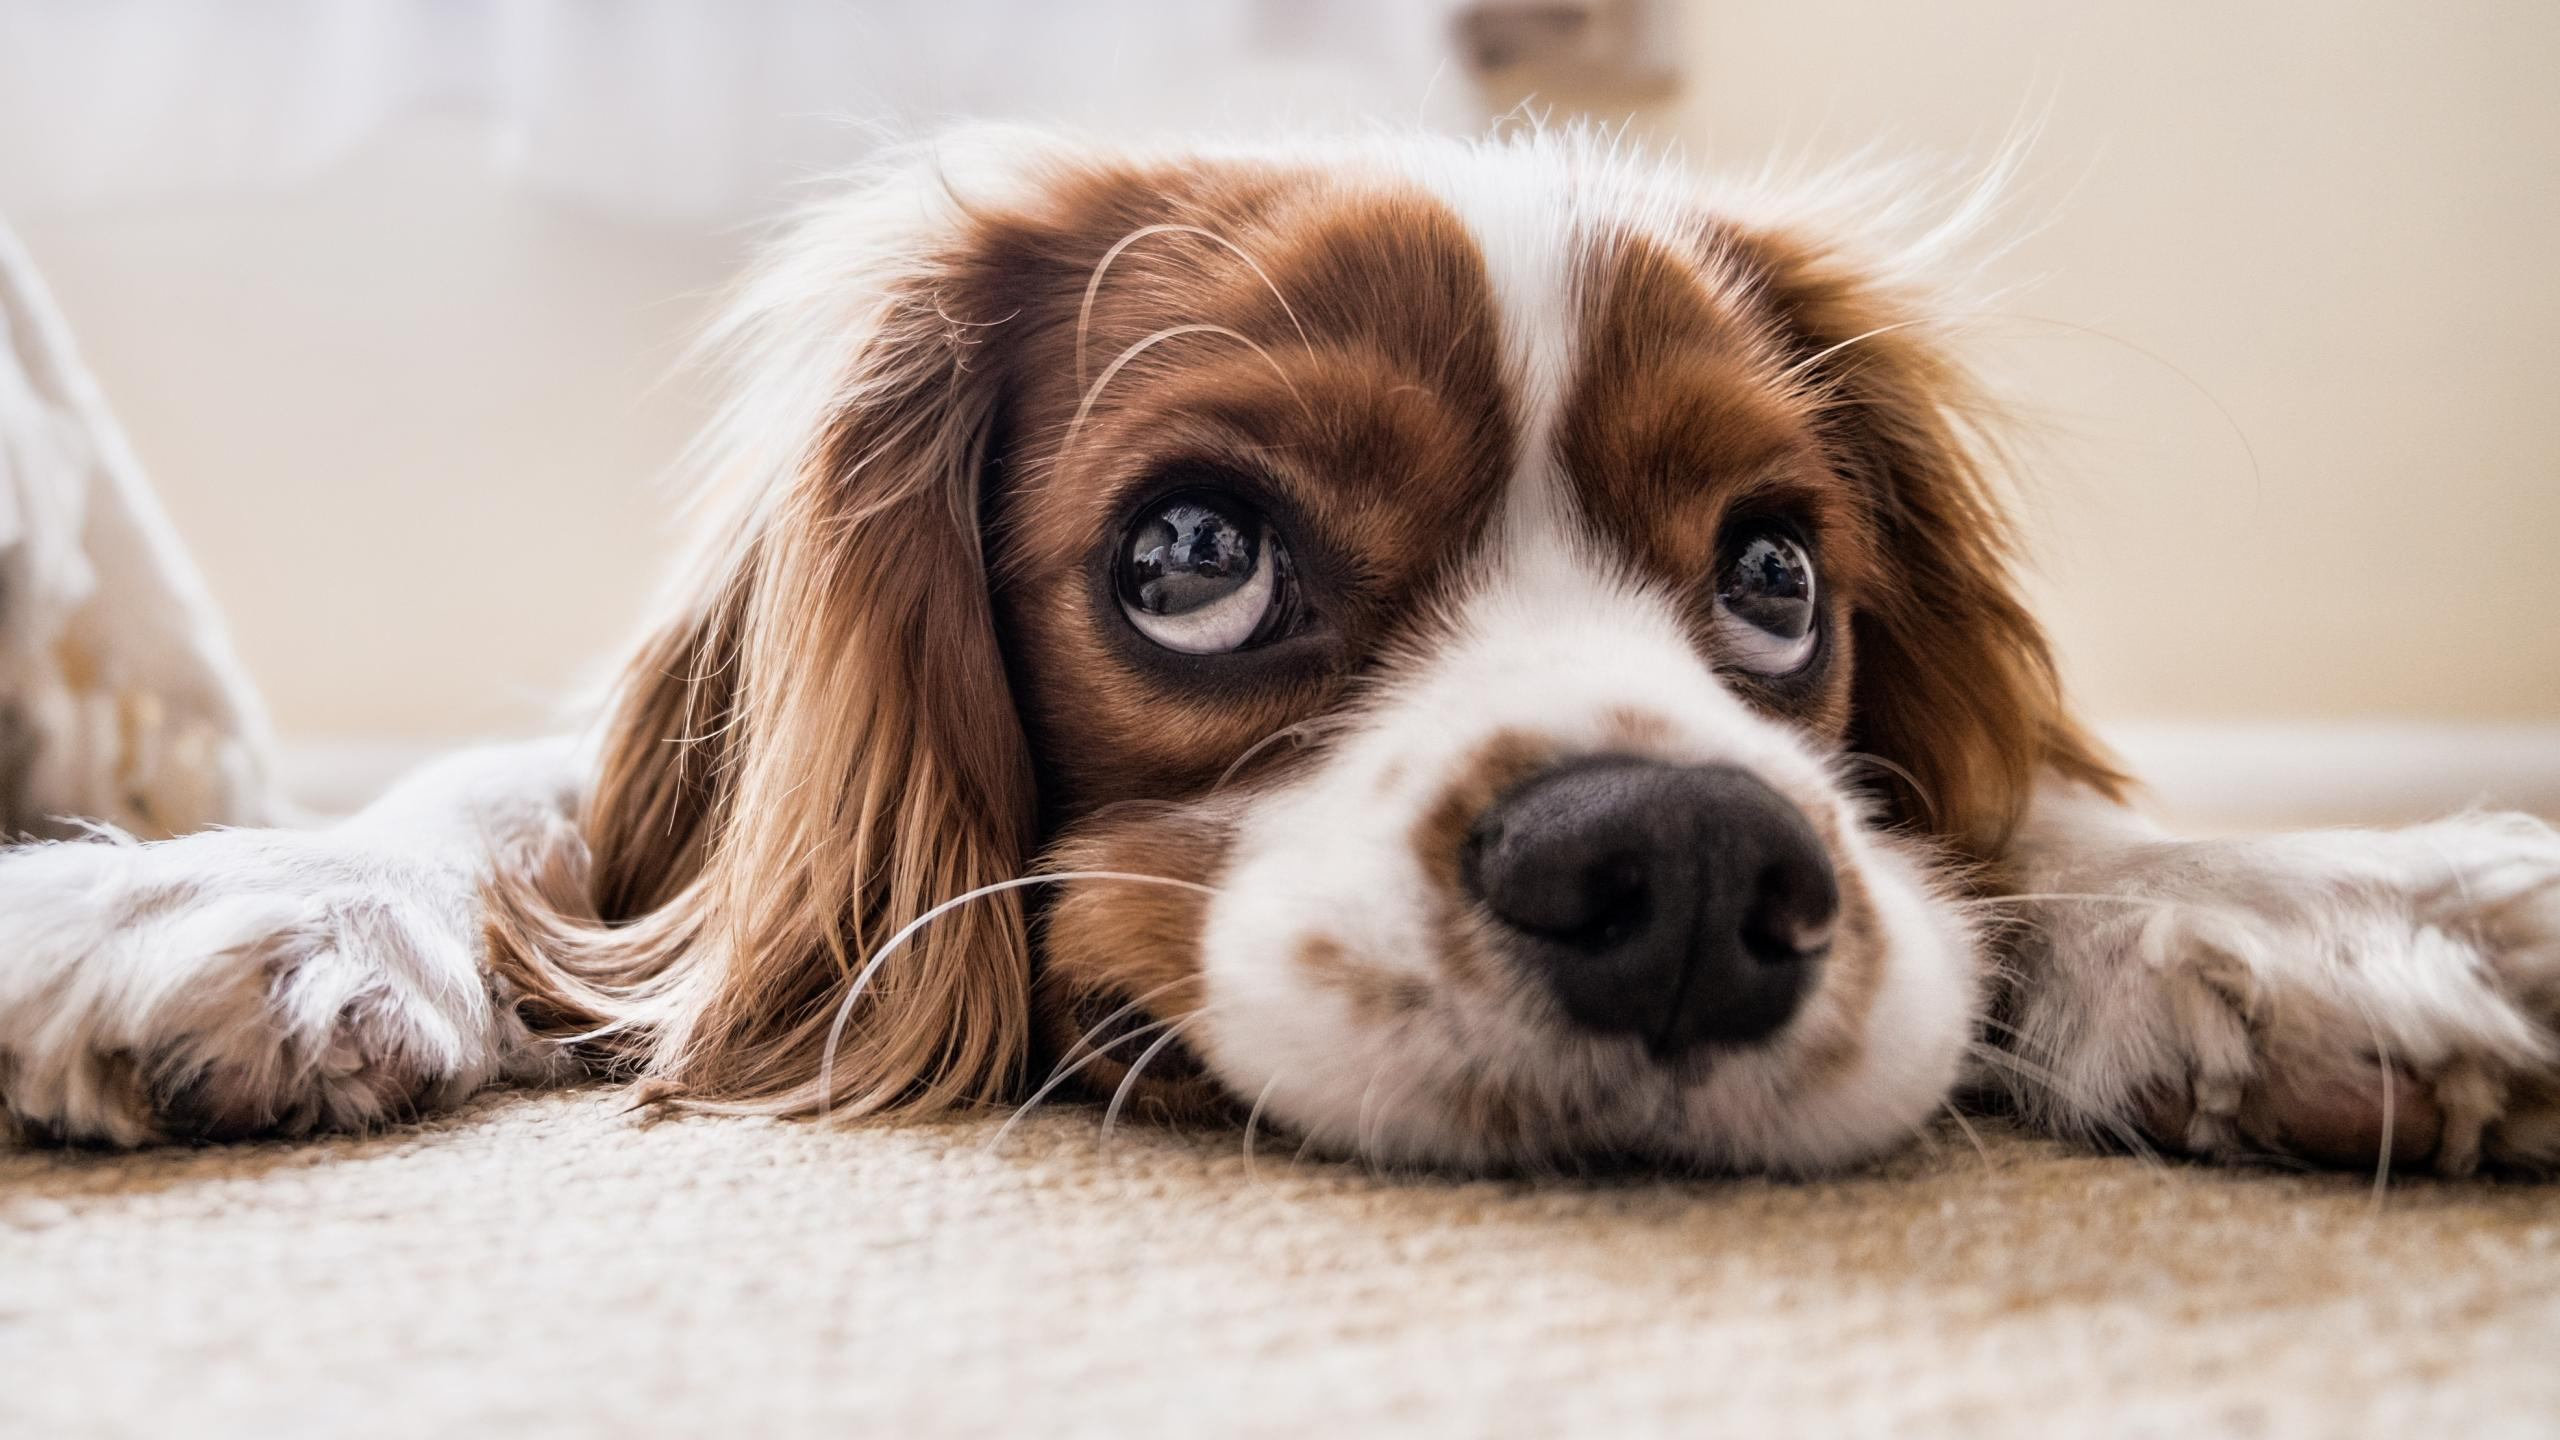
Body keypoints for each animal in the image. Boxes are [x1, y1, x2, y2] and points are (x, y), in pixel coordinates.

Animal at [5, 128, 2560, 1173]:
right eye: (1192, 553)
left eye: (1772, 580)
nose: (1682, 872)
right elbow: (516, 807)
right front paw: (226, 893)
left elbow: (2024, 823)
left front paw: (2314, 908)